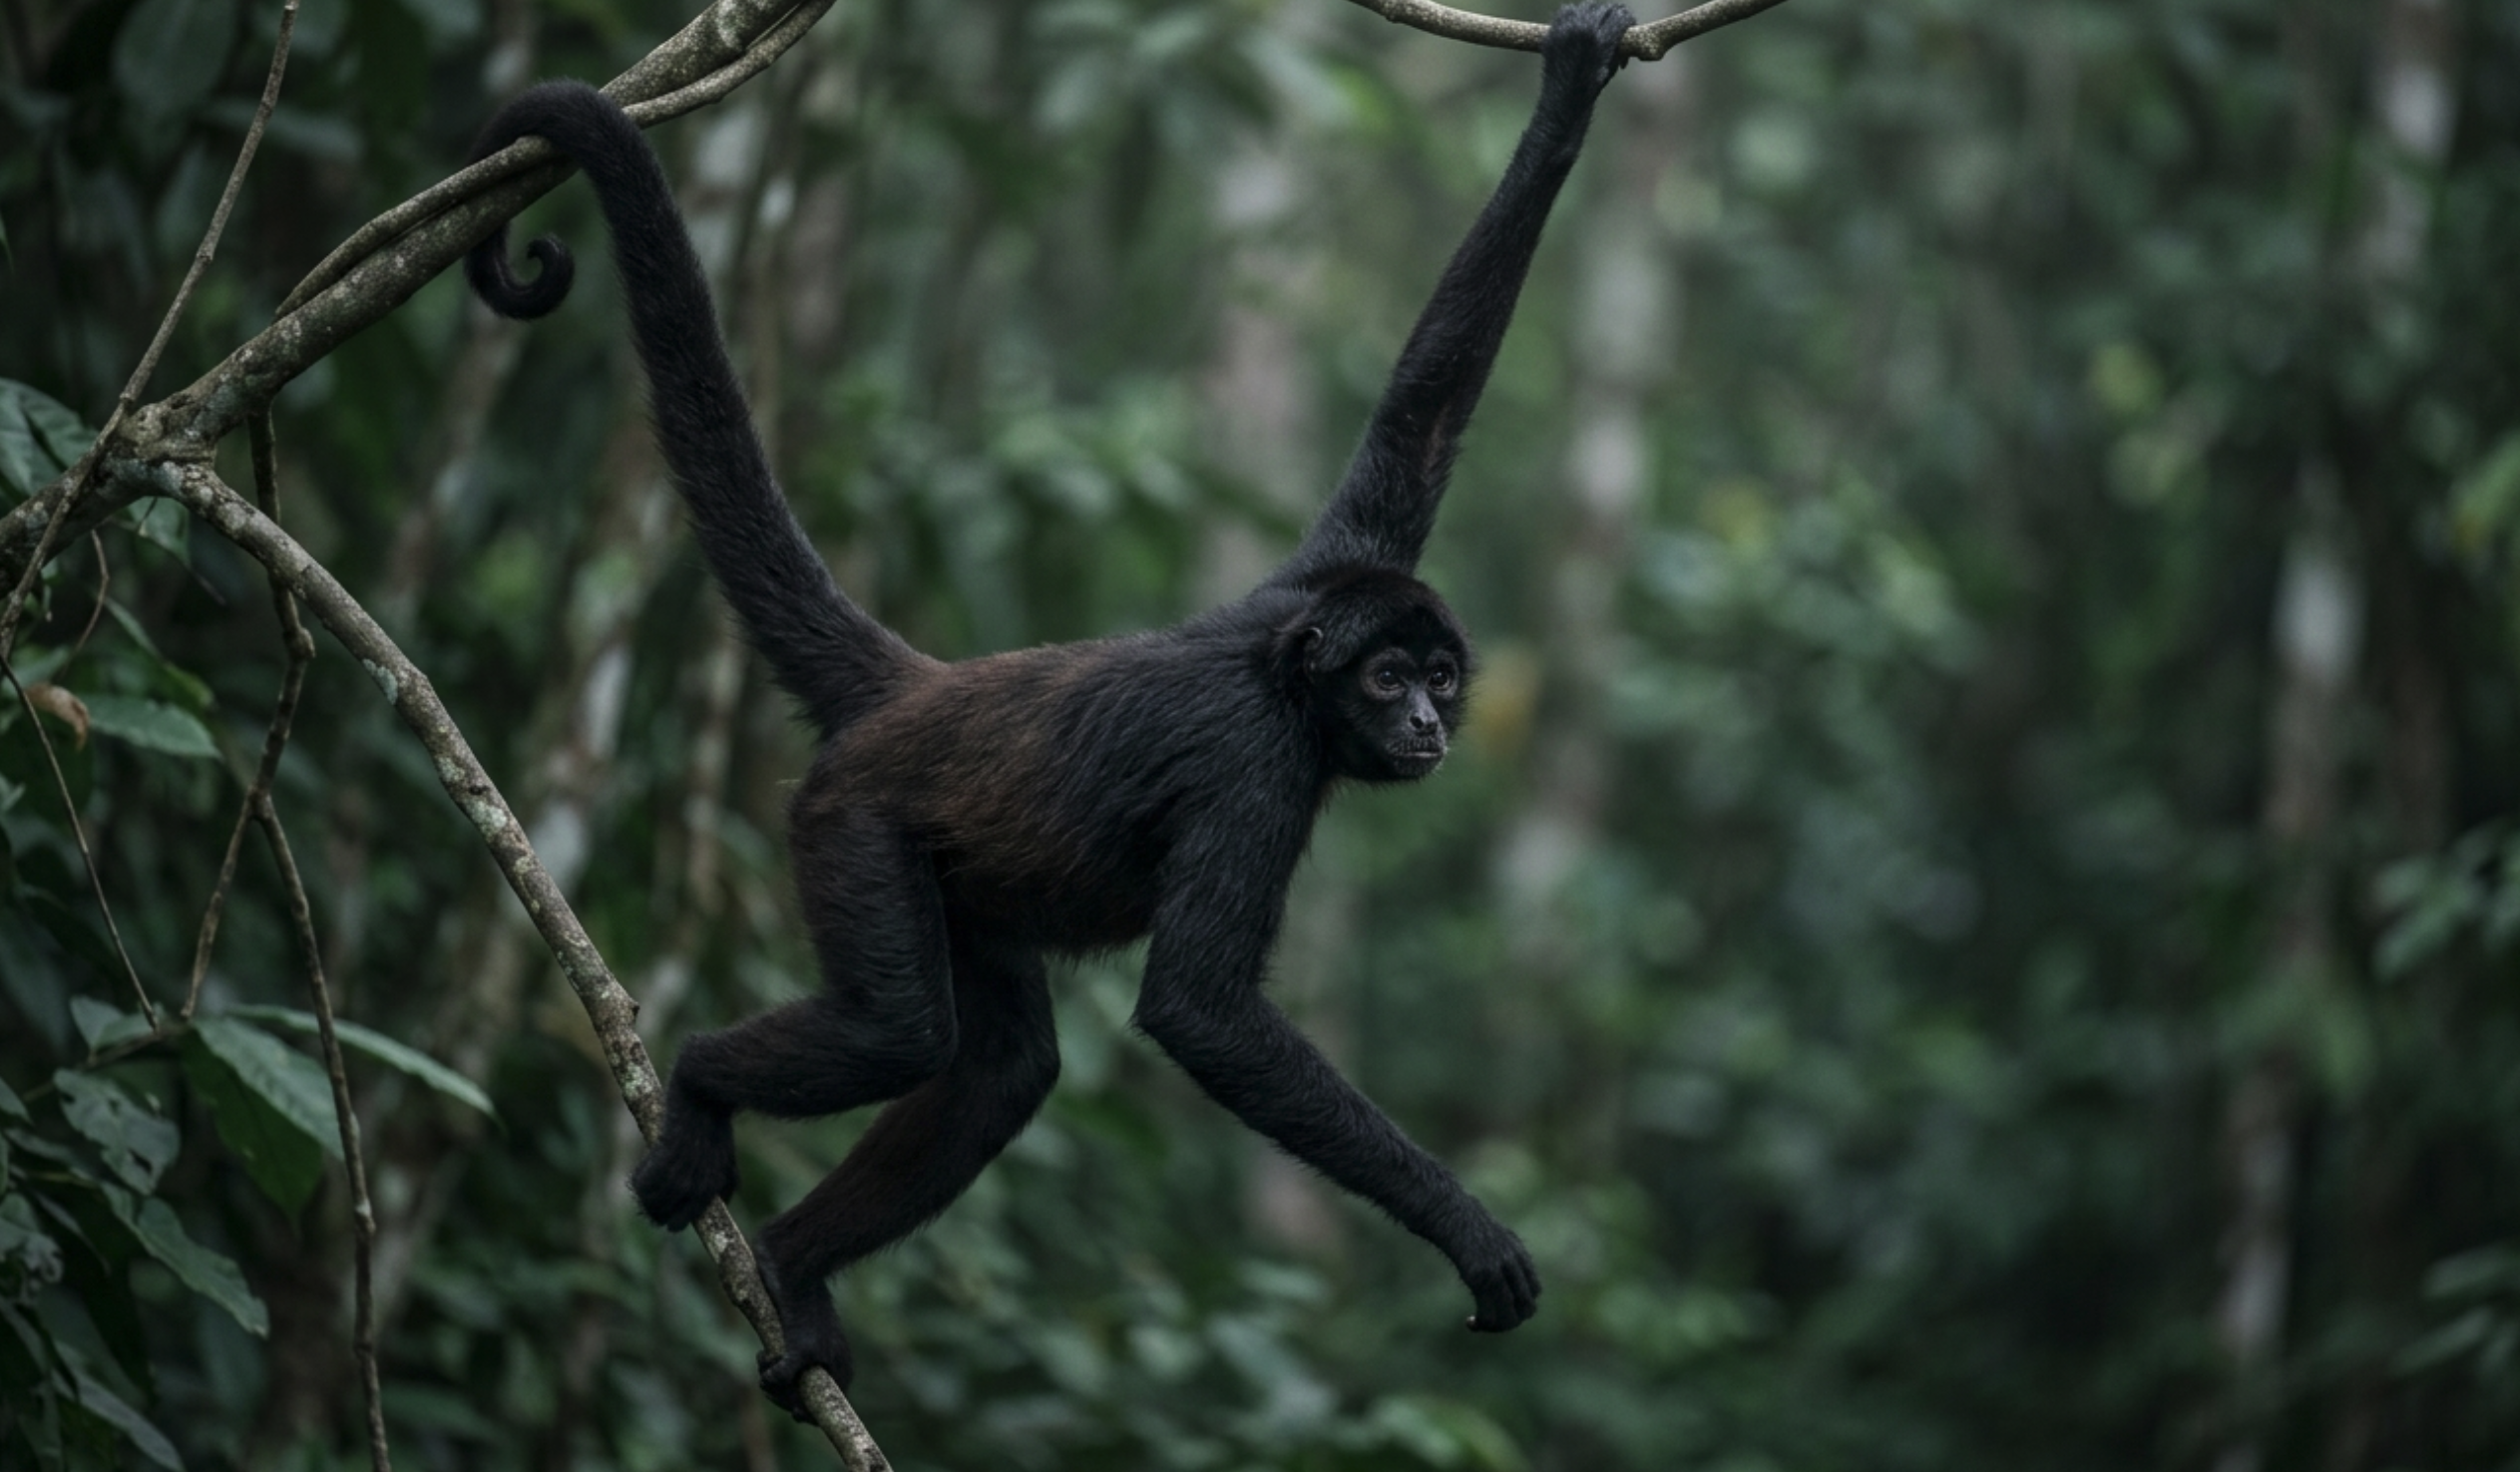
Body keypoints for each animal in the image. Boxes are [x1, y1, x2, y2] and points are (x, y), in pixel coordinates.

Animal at [464, 2, 1634, 1417]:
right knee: (900, 1029)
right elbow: (1197, 1009)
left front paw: (1568, 95)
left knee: (998, 1068)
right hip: (850, 820)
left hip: (956, 871)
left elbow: (1422, 413)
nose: (1428, 727)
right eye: (1386, 680)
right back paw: (693, 1084)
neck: (1284, 676)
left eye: (1443, 677)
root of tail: (918, 690)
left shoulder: (1327, 569)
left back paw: (793, 1267)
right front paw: (1467, 1230)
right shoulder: (1256, 764)